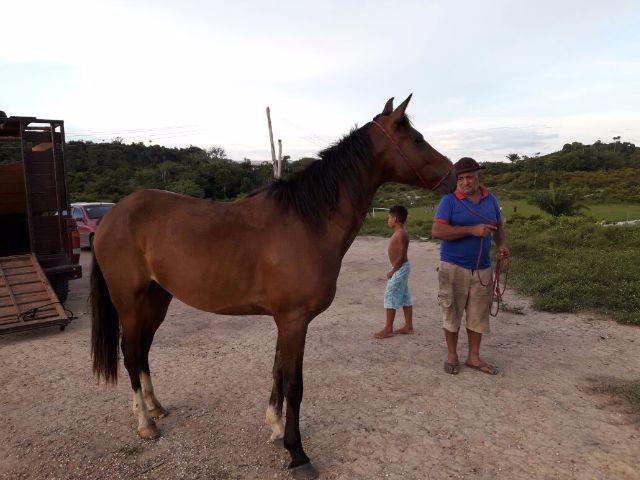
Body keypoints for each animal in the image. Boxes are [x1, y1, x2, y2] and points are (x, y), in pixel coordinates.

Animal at [90, 94, 456, 479]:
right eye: (416, 139)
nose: (454, 174)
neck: (307, 222)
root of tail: (111, 216)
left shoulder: (287, 320)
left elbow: (278, 372)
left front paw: (276, 427)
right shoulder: (294, 320)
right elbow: (294, 384)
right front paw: (297, 453)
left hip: (157, 299)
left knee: (143, 351)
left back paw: (156, 407)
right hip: (129, 303)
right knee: (130, 354)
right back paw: (145, 424)